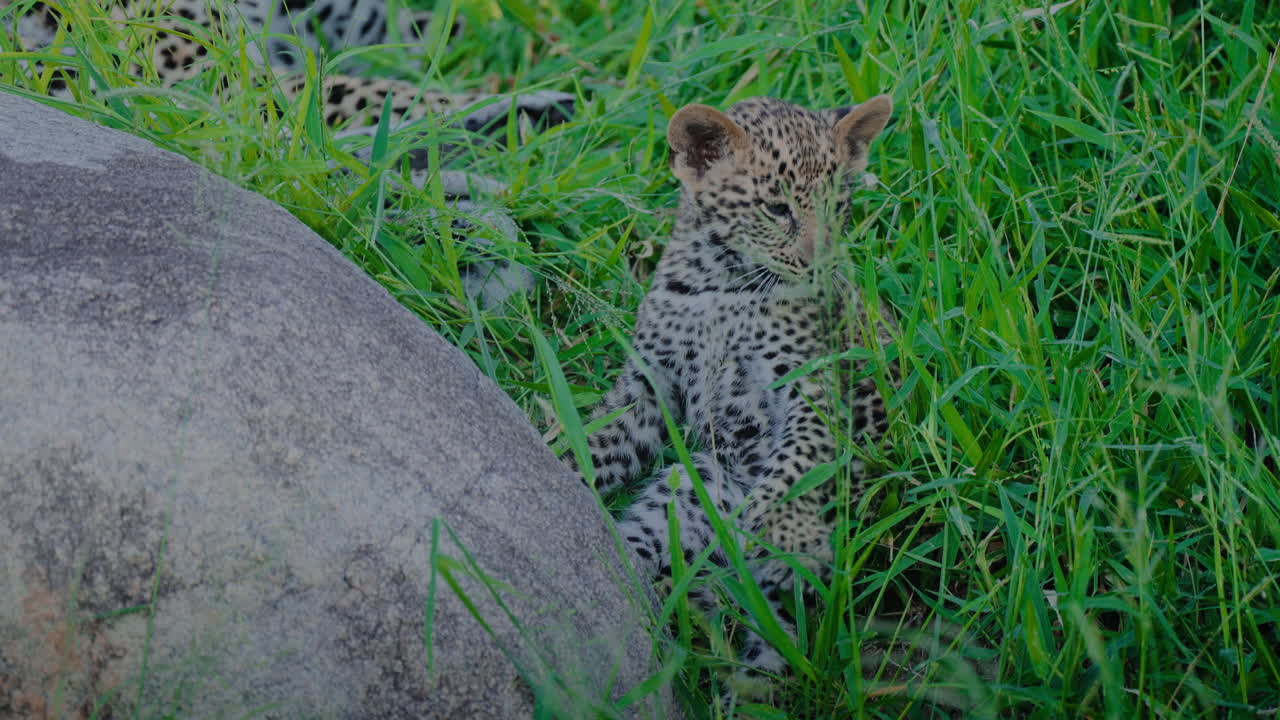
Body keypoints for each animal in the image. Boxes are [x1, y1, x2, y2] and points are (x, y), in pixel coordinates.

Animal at [569, 93, 896, 698]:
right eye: (775, 209)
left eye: (838, 207)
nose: (818, 263)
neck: (719, 283)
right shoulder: (649, 388)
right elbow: (596, 442)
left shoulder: (806, 385)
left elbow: (797, 462)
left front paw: (783, 533)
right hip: (687, 489)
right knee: (641, 564)